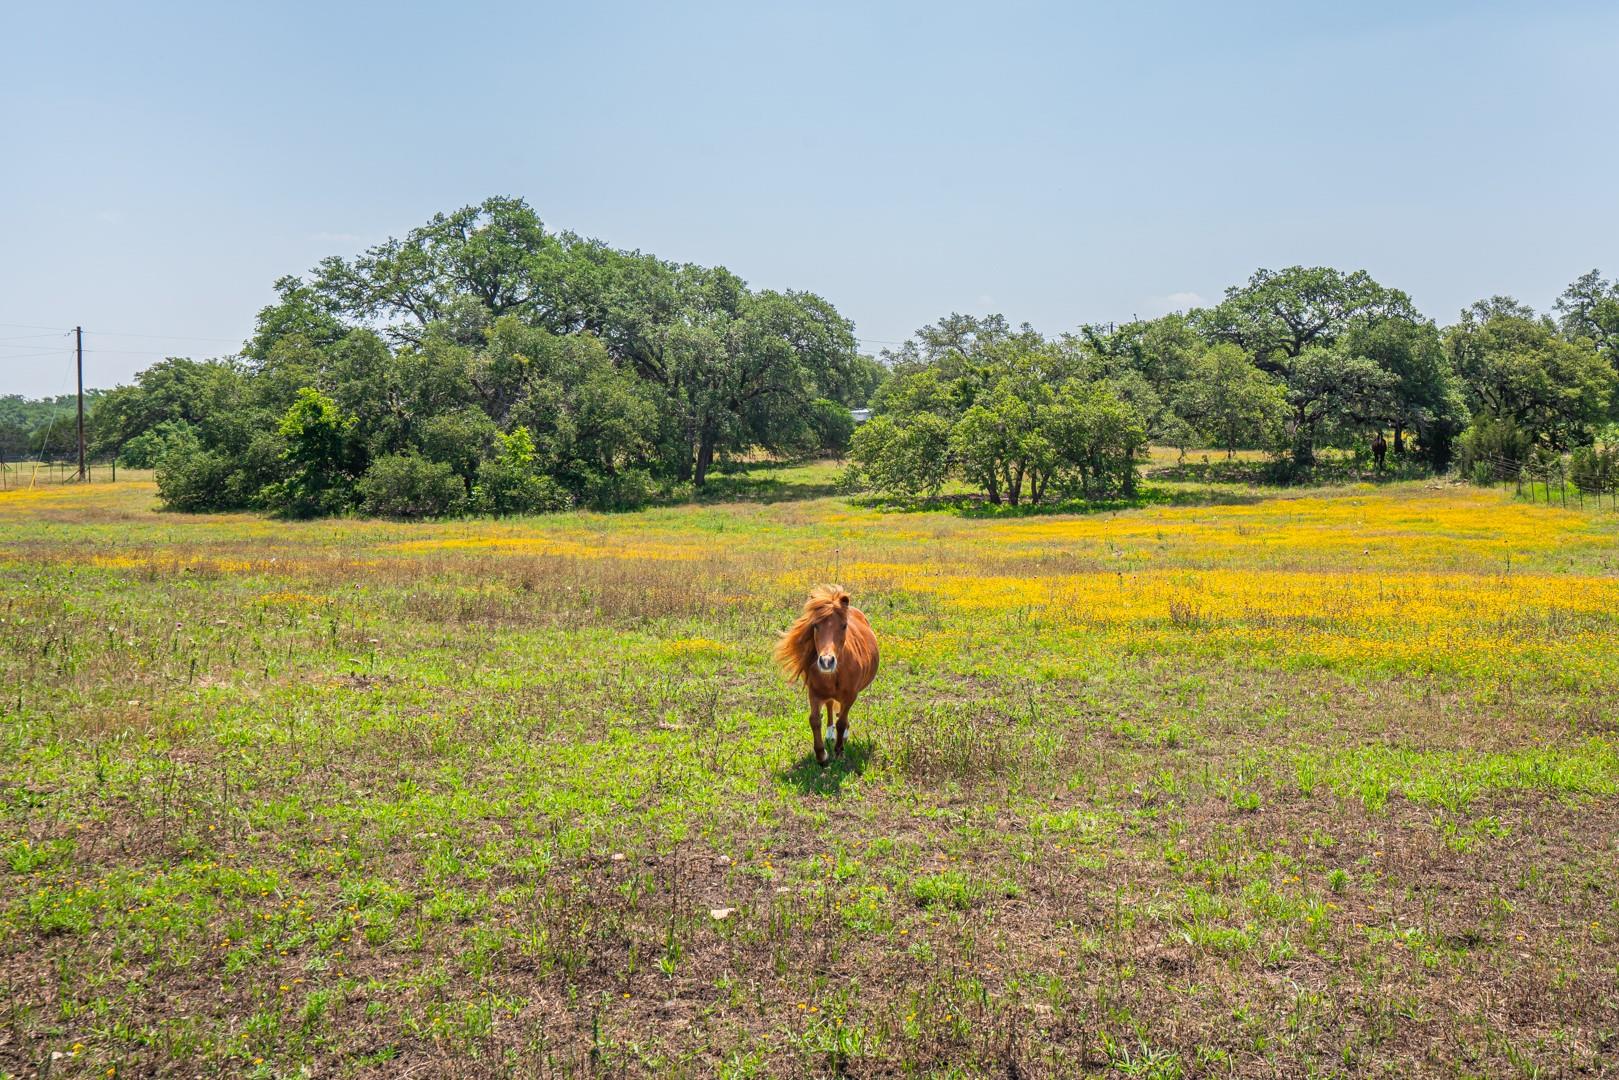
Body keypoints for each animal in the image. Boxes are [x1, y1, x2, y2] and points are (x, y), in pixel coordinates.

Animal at [773, 586, 880, 764]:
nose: (826, 661)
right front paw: (821, 755)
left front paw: (839, 751)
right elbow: (815, 720)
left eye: (844, 626)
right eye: (815, 625)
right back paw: (830, 734)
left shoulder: (851, 695)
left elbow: (842, 721)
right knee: (830, 705)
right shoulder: (814, 693)